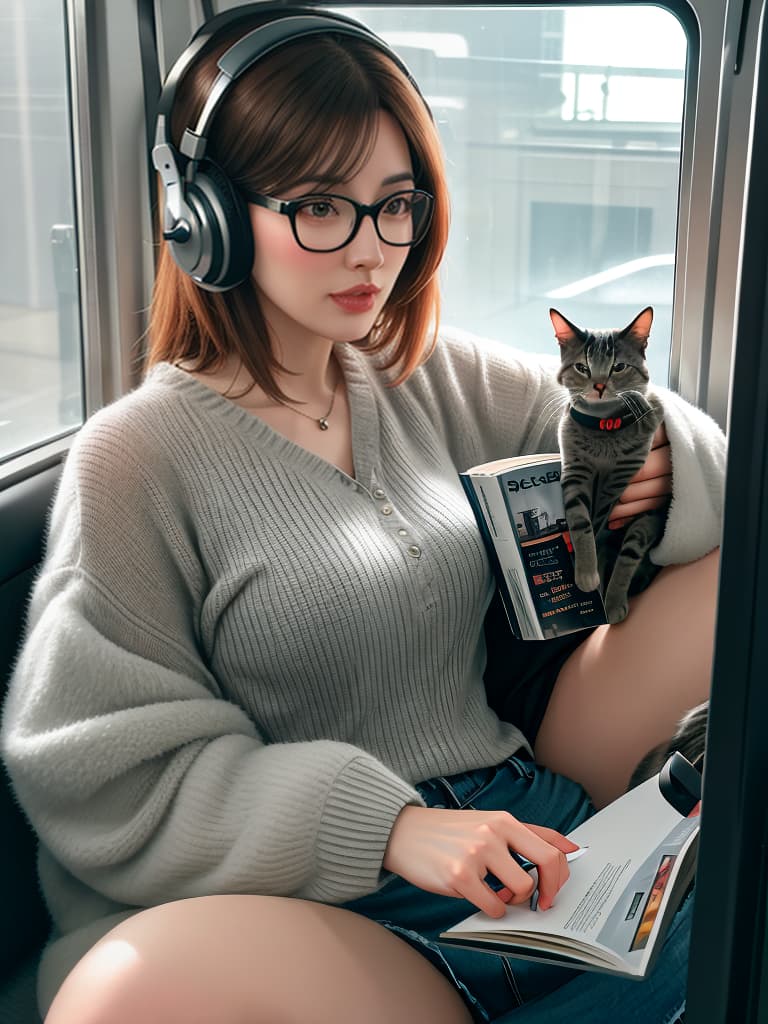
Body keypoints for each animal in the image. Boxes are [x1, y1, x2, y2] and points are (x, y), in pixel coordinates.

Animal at [552, 303, 667, 622]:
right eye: (582, 367)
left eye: (618, 367)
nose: (600, 385)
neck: (604, 428)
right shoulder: (575, 472)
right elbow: (581, 522)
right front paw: (586, 573)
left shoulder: (625, 485)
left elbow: (626, 550)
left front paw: (612, 600)